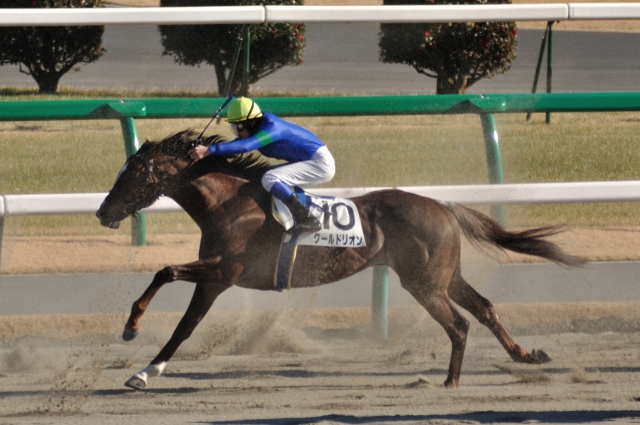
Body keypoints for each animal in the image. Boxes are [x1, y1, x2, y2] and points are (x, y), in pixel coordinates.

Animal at [96, 129, 585, 390]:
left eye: (133, 173)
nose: (102, 212)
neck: (228, 204)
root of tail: (444, 206)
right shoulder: (215, 278)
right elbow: (180, 313)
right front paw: (143, 359)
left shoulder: (225, 270)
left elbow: (168, 282)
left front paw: (134, 341)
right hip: (444, 275)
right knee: (483, 308)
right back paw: (525, 355)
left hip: (423, 281)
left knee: (460, 323)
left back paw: (449, 381)